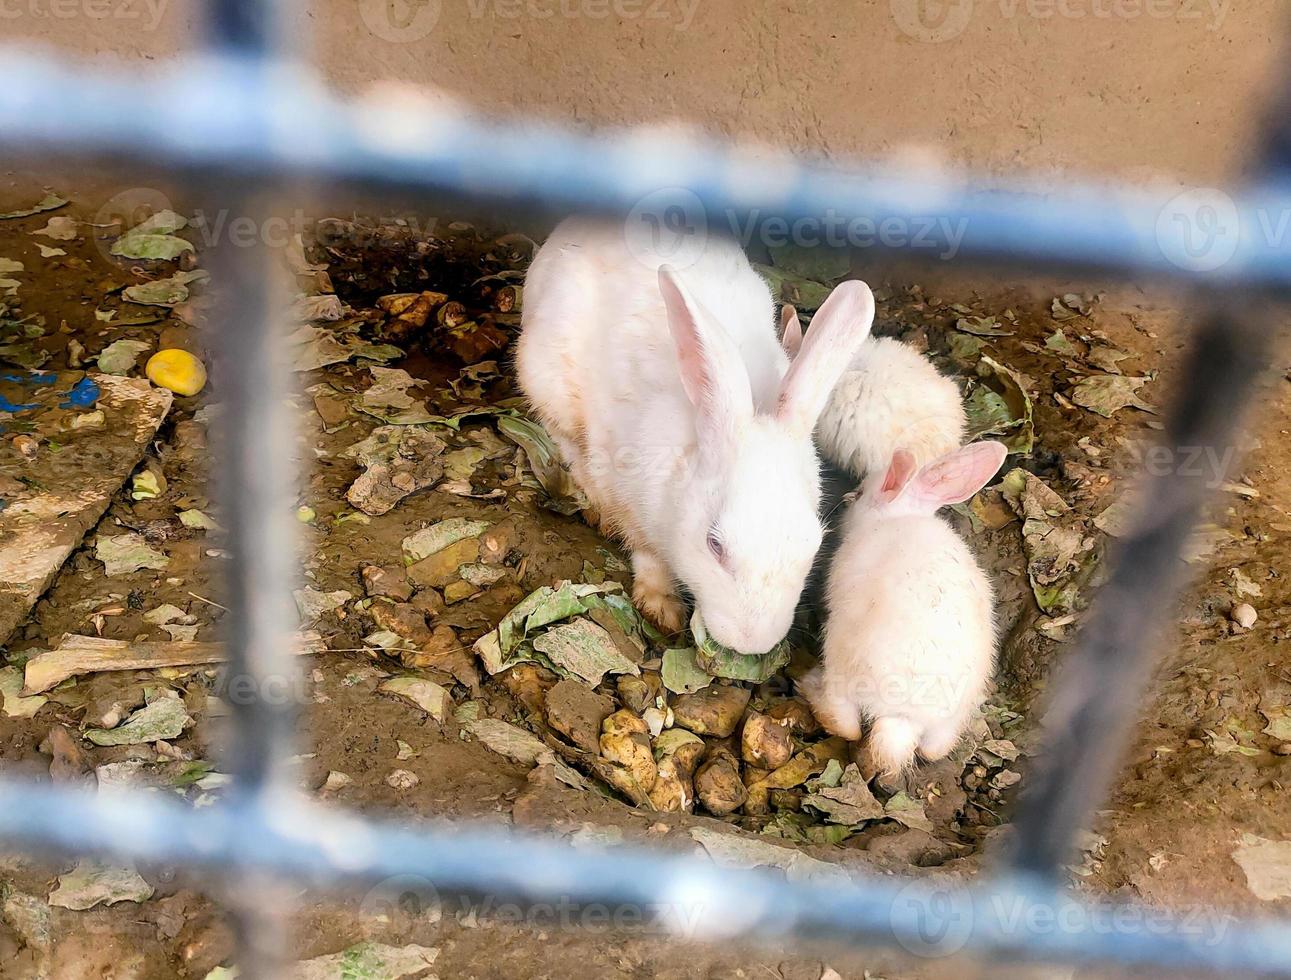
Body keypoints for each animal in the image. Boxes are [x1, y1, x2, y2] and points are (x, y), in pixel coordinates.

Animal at [513, 218, 877, 655]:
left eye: (814, 545)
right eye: (714, 544)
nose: (751, 643)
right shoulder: (626, 491)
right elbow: (646, 552)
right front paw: (661, 605)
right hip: (544, 374)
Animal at [795, 441, 1006, 779]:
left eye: (860, 493)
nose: (847, 498)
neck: (898, 514)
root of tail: (904, 718)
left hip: (842, 667)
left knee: (847, 726)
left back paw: (807, 685)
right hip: (949, 721)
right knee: (933, 749)